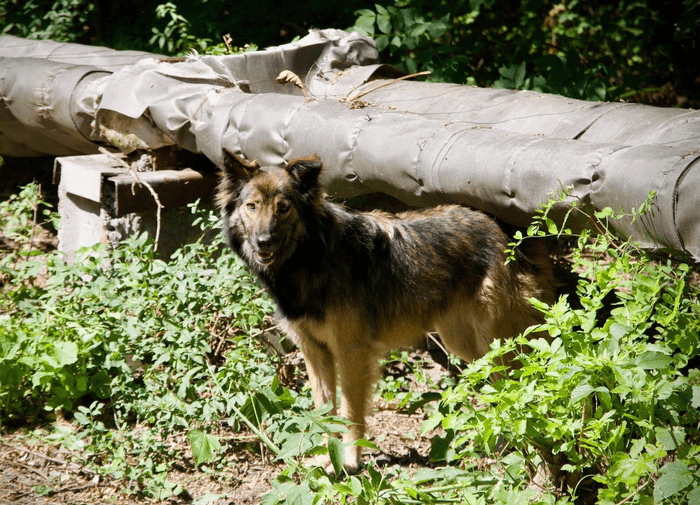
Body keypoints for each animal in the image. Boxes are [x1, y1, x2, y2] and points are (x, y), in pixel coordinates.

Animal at [216, 153, 556, 472]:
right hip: (466, 344)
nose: (263, 242)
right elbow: (324, 411)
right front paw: (327, 459)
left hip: (496, 345)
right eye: (252, 206)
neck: (311, 257)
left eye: (284, 208)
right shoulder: (314, 350)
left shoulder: (351, 351)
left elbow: (350, 412)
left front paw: (350, 462)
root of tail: (509, 233)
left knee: (527, 384)